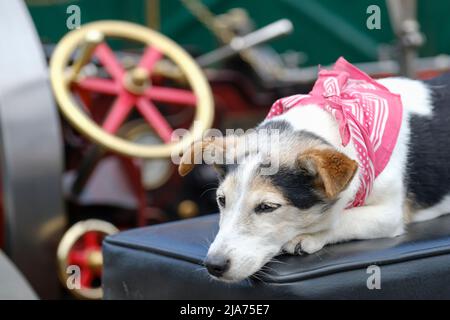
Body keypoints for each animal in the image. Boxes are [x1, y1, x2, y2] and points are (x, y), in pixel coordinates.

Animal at [177, 58, 450, 282]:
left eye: (267, 207)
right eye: (221, 200)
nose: (213, 265)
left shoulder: (389, 214)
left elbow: (337, 218)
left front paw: (307, 236)